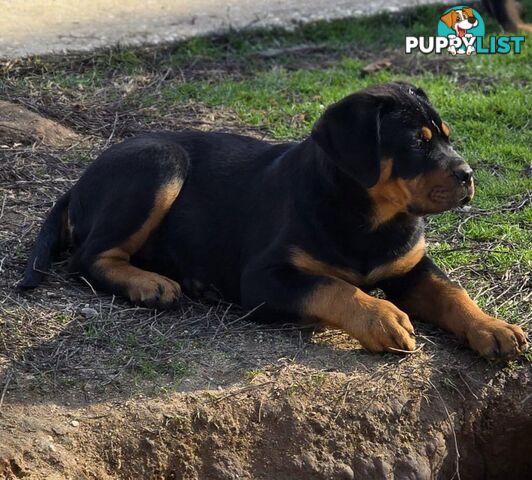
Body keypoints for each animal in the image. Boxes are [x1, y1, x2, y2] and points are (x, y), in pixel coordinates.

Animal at [20, 82, 528, 358]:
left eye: (446, 137)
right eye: (417, 143)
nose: (468, 175)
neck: (371, 217)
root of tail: (78, 183)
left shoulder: (410, 266)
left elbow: (451, 293)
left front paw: (493, 328)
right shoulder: (266, 277)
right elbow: (333, 286)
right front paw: (381, 316)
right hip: (160, 163)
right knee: (87, 258)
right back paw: (151, 285)